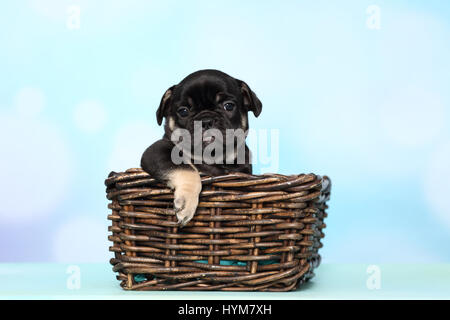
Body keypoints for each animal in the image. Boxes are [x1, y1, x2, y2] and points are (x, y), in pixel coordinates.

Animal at [140, 70, 260, 225]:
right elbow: (187, 169)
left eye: (228, 106)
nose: (206, 121)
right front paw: (186, 202)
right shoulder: (157, 151)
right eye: (183, 111)